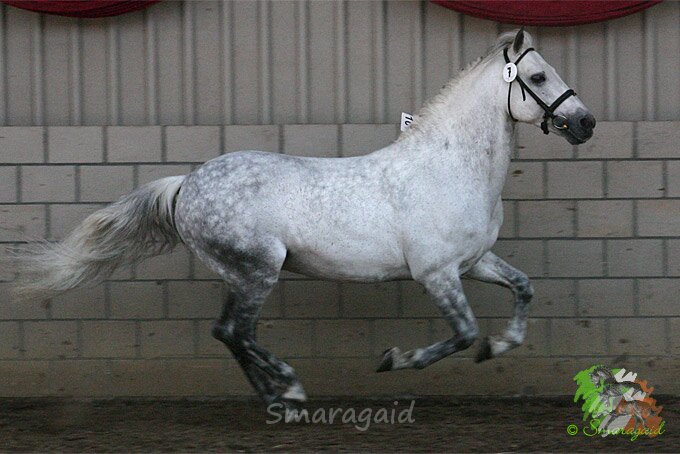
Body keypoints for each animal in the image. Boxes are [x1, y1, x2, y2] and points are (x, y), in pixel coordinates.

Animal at [13, 29, 595, 408]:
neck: (450, 167)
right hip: (257, 270)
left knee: (227, 332)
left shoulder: (473, 262)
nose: (585, 122)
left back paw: (276, 396)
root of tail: (186, 185)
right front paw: (395, 359)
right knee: (237, 331)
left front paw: (501, 345)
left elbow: (523, 289)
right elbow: (462, 333)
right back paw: (289, 388)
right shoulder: (438, 273)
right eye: (539, 75)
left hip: (241, 275)